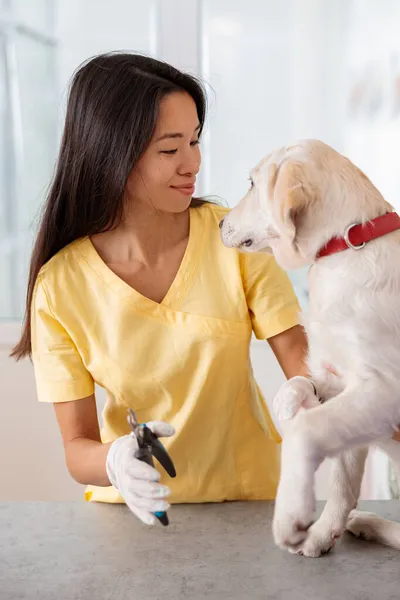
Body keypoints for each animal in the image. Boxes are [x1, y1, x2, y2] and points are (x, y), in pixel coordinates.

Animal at [220, 141, 400, 556]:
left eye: (251, 183)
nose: (220, 224)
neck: (348, 246)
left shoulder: (384, 389)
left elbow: (307, 430)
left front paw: (292, 515)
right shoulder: (345, 382)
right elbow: (342, 483)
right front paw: (320, 535)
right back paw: (364, 523)